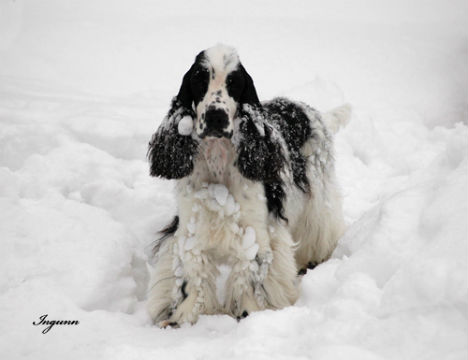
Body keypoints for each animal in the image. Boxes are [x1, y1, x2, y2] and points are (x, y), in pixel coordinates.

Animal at [148, 43, 350, 326]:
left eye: (234, 83)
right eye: (199, 79)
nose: (216, 116)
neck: (218, 163)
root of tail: (308, 109)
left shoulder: (255, 233)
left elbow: (250, 276)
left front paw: (250, 313)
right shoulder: (191, 231)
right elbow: (191, 276)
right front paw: (182, 318)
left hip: (319, 197)